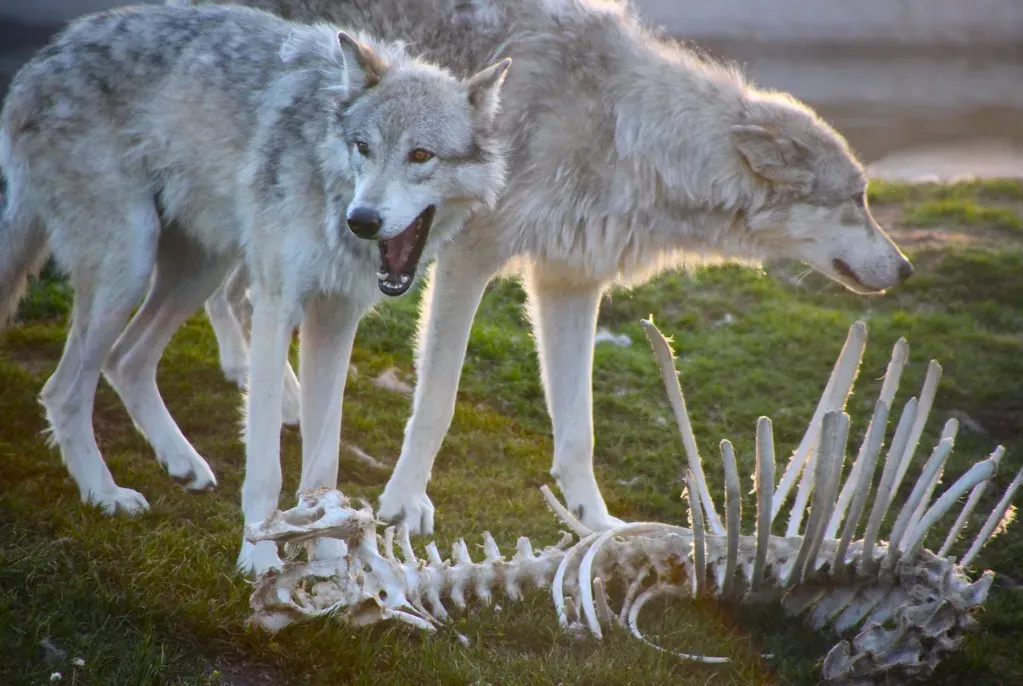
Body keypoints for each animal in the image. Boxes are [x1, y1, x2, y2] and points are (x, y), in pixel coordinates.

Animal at [0, 3, 511, 574]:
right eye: (363, 148)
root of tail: (43, 58)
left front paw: (329, 555)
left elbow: (324, 460)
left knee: (125, 360)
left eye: (420, 155)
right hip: (129, 267)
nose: (362, 220)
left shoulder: (335, 321)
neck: (326, 181)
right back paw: (105, 494)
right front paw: (260, 557)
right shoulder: (273, 308)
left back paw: (182, 462)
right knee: (63, 390)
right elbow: (267, 465)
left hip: (196, 272)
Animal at [192, 0, 914, 536]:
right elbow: (438, 403)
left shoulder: (568, 283)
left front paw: (597, 524)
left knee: (231, 297)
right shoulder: (468, 262)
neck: (622, 132)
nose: (905, 270)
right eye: (856, 200)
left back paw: (263, 387)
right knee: (236, 297)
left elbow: (577, 432)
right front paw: (403, 503)